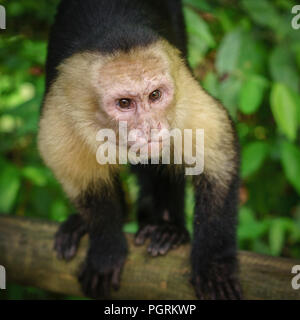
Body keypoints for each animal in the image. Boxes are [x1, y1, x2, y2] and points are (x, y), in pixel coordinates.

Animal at [38, 0, 241, 300]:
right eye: (124, 103)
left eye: (155, 95)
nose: (150, 127)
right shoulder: (63, 112)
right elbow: (81, 177)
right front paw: (106, 249)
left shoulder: (182, 93)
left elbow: (218, 153)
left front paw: (213, 265)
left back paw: (168, 228)